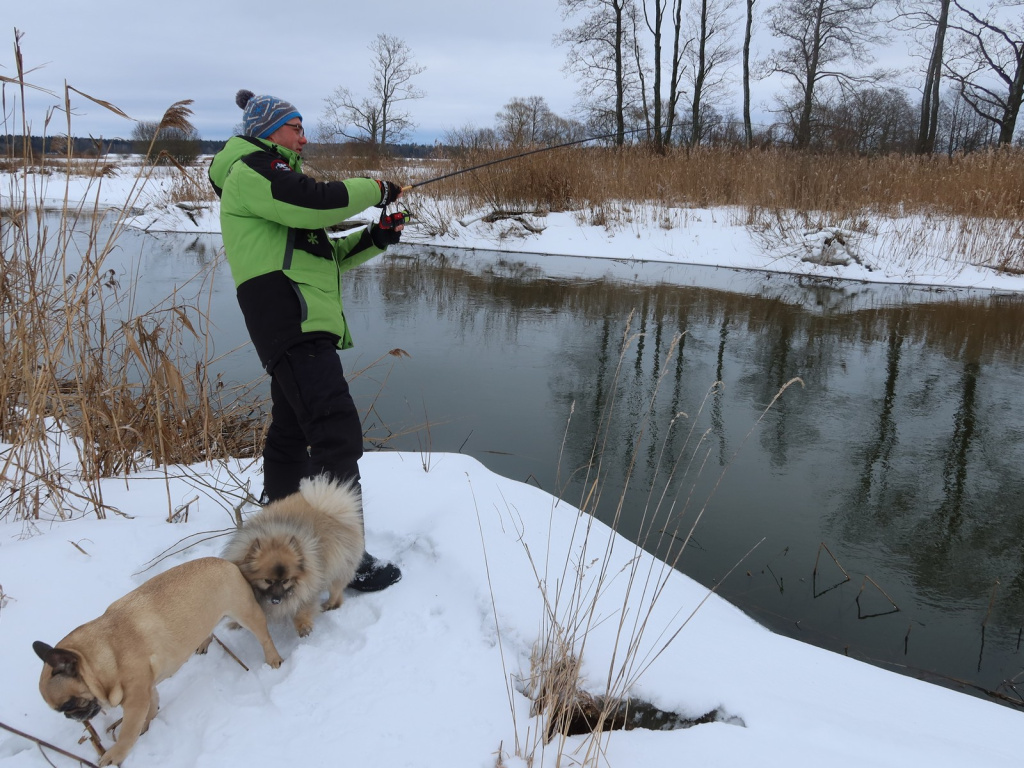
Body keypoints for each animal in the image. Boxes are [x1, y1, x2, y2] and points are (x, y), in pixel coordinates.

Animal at [34, 557, 282, 765]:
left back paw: (273, 660)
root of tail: (227, 562)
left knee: (265, 637)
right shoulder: (146, 689)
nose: (69, 716)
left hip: (246, 613)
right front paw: (147, 725)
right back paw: (203, 642)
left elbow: (127, 732)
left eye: (68, 705)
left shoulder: (136, 700)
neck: (101, 657)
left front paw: (115, 754)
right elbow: (152, 706)